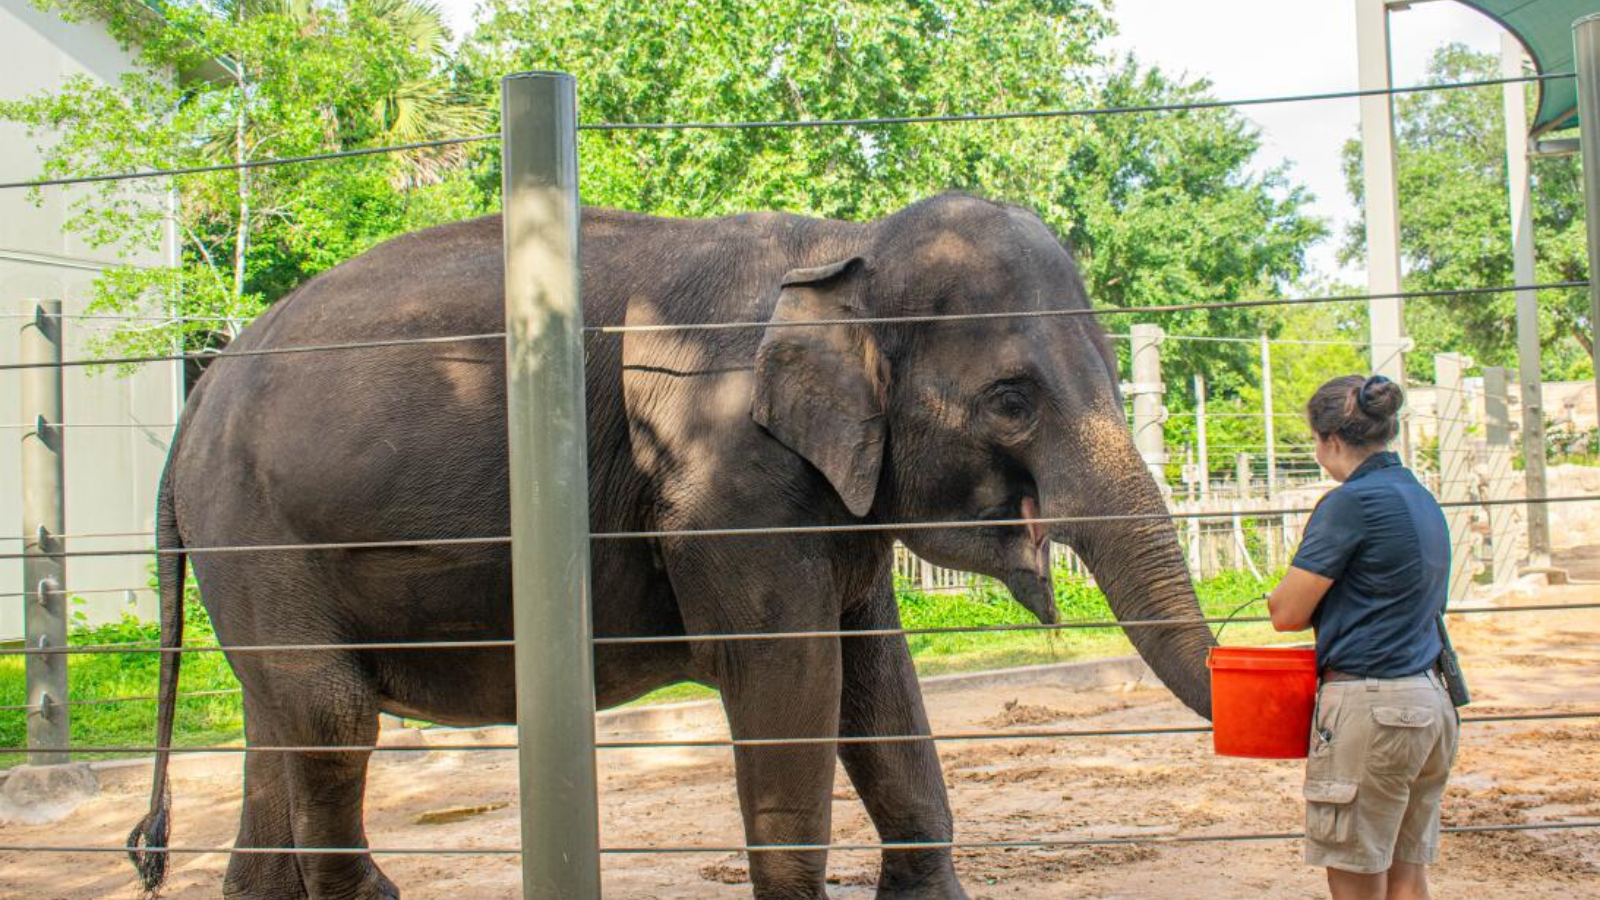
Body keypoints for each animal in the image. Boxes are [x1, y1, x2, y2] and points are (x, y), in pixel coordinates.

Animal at [131, 192, 1216, 896]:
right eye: (1011, 401)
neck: (841, 247)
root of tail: (197, 396)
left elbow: (879, 687)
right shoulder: (721, 477)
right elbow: (792, 684)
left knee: (278, 736)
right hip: (257, 530)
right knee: (330, 715)